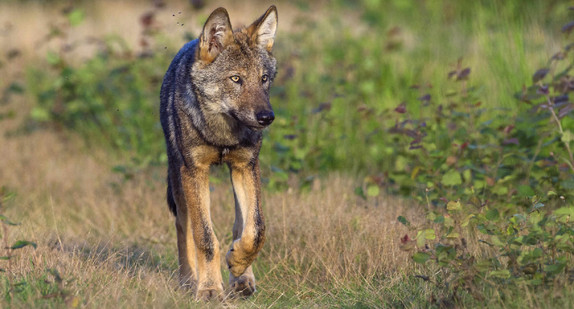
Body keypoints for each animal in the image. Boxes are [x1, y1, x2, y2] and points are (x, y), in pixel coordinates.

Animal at [160, 4, 280, 298]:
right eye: (236, 79)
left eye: (263, 79)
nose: (267, 117)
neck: (222, 134)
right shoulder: (194, 171)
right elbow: (204, 237)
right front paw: (209, 289)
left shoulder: (246, 165)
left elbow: (256, 229)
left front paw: (237, 263)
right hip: (178, 178)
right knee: (184, 226)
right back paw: (188, 280)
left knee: (240, 225)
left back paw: (243, 278)